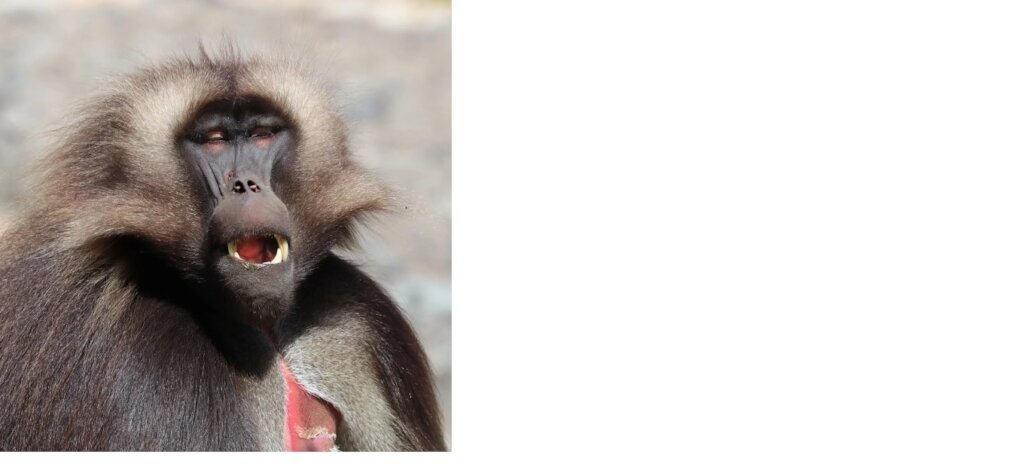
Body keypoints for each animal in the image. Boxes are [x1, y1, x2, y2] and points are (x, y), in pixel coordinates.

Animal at [0, 47, 446, 451]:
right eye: (214, 141)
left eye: (263, 135)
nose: (246, 185)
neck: (268, 332)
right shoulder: (154, 370)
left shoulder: (356, 315)